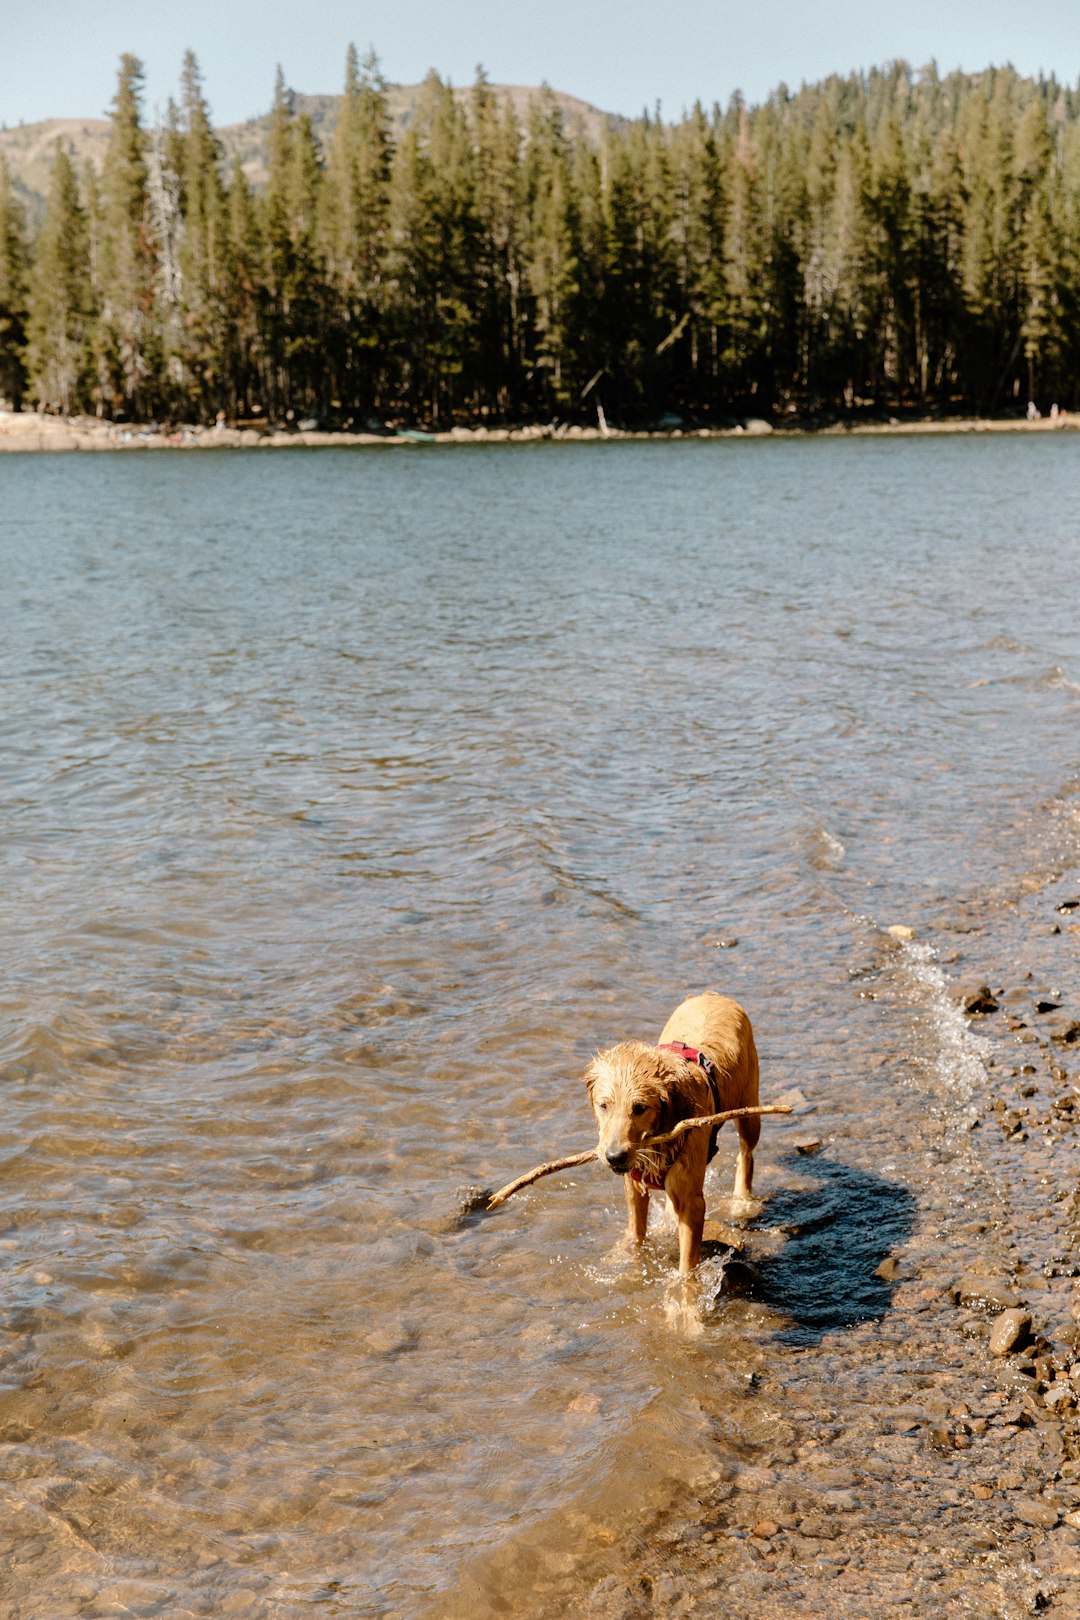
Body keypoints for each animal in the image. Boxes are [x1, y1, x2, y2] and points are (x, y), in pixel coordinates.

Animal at [582, 991, 761, 1270]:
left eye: (640, 1108)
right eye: (604, 1106)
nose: (614, 1157)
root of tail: (713, 994)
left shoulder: (692, 1203)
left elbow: (687, 1265)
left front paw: (683, 1284)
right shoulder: (634, 1187)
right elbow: (636, 1233)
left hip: (749, 1110)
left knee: (746, 1153)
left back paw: (741, 1199)